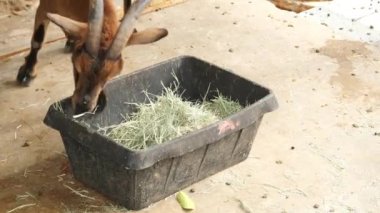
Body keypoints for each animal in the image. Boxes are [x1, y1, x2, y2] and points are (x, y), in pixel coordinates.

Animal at [15, 0, 168, 115]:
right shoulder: (45, 5)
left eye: (113, 74)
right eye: (77, 62)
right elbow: (38, 39)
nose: (83, 107)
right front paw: (27, 73)